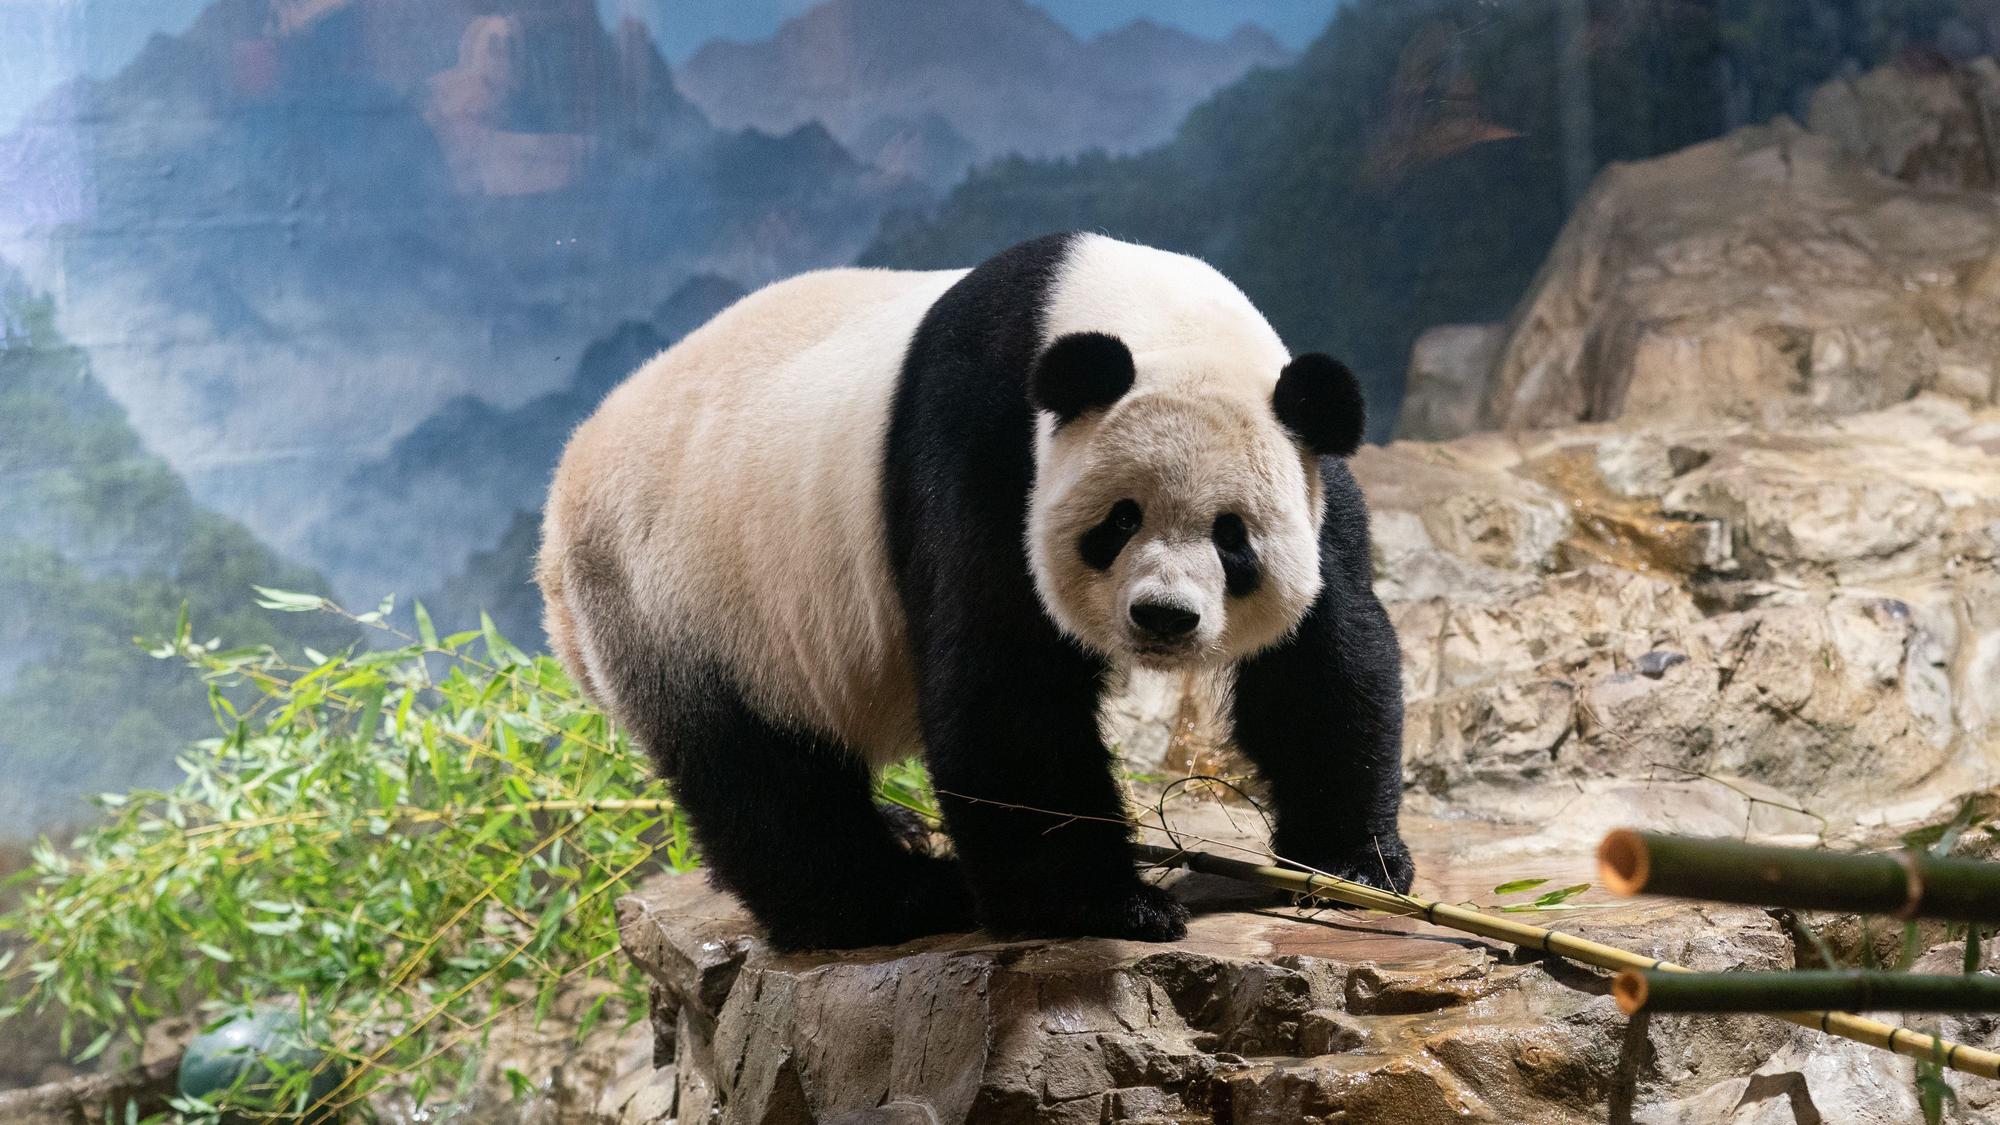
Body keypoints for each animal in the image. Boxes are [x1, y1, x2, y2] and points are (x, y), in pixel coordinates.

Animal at [536, 232, 1411, 951]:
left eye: (1233, 537)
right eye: (1120, 520)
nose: (1163, 617)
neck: (1140, 311)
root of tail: (561, 500)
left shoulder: (1310, 467)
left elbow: (1324, 662)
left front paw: (1350, 863)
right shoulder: (981, 448)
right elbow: (1003, 690)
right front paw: (1106, 905)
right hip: (686, 607)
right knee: (765, 780)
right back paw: (902, 898)